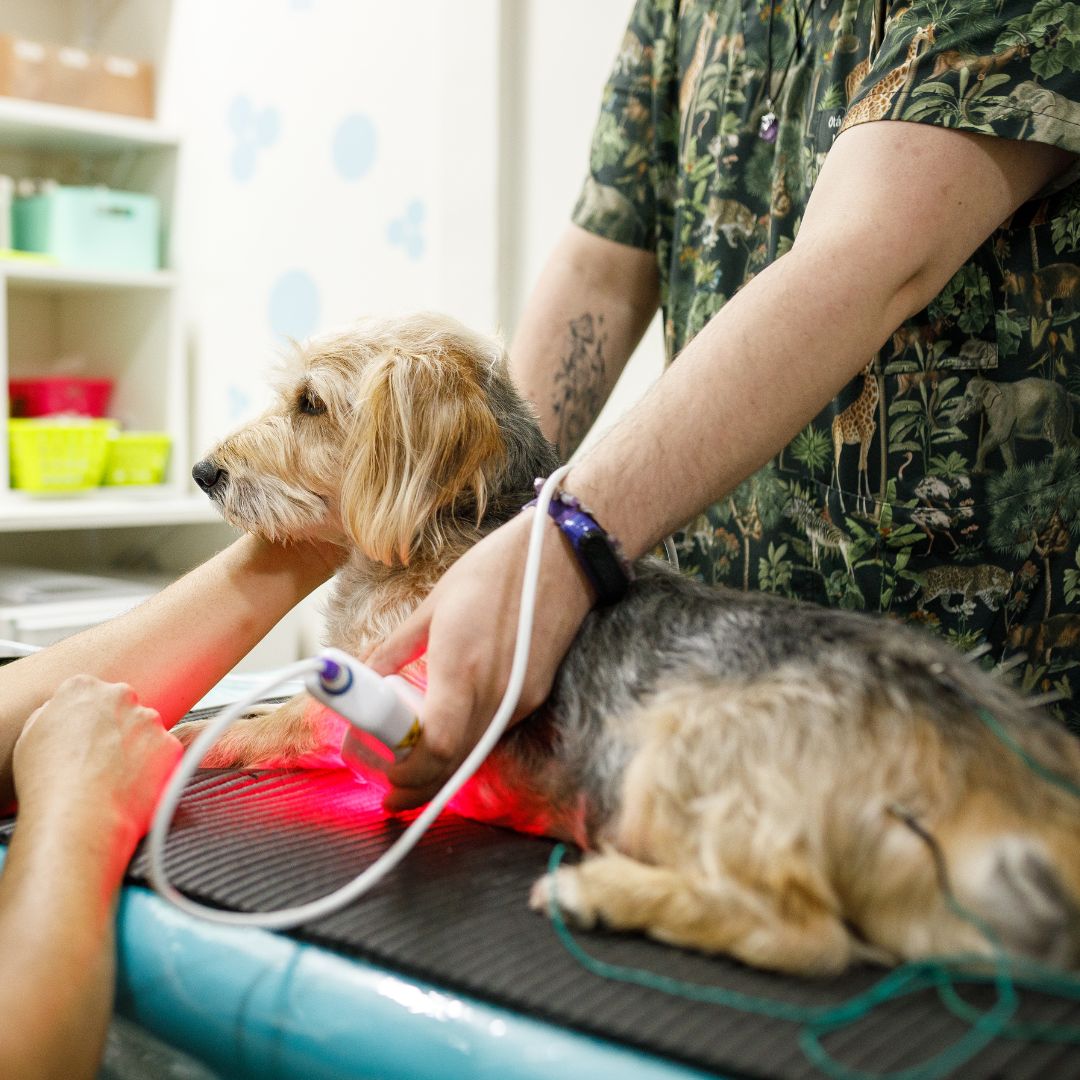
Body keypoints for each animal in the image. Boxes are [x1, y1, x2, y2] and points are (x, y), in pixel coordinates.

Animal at [187, 313, 1080, 980]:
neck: (447, 533)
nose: (203, 471)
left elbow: (283, 721)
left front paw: (210, 736)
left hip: (683, 751)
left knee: (807, 937)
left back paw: (603, 894)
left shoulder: (389, 692)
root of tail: (995, 754)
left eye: (310, 404)